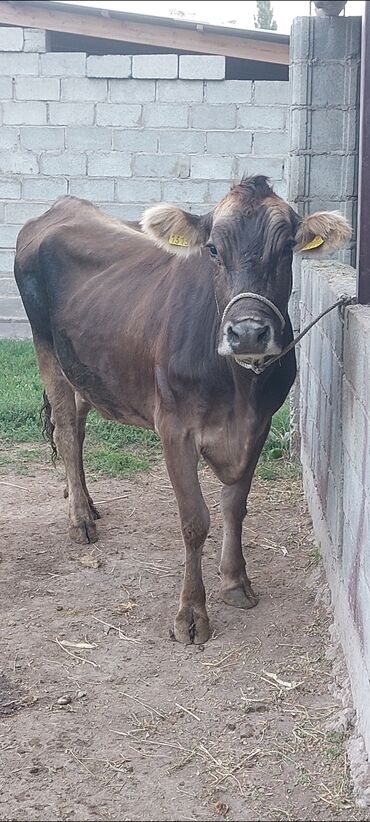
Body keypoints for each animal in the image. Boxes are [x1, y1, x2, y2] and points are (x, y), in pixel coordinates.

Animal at [14, 177, 350, 648]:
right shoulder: (174, 428)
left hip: (84, 366)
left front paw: (235, 582)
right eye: (212, 248)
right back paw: (79, 519)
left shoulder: (260, 425)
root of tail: (62, 206)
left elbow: (235, 506)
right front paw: (191, 614)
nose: (248, 333)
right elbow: (195, 521)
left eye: (287, 247)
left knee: (76, 430)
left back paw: (87, 503)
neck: (238, 387)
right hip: (47, 350)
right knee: (64, 432)